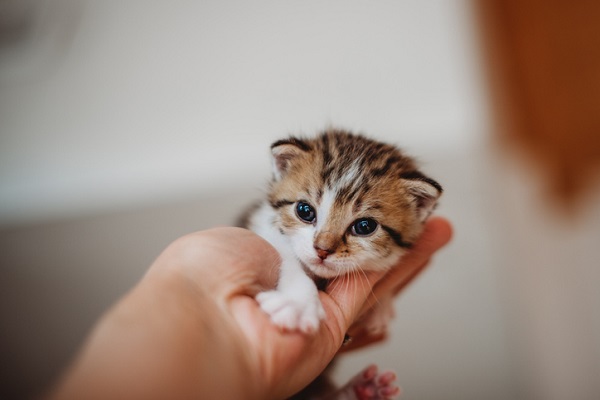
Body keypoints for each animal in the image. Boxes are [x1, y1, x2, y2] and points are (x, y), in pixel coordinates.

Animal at [241, 130, 442, 398]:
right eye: (305, 210)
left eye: (365, 226)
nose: (322, 250)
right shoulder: (262, 228)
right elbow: (288, 260)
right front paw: (297, 304)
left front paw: (381, 307)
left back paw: (363, 390)